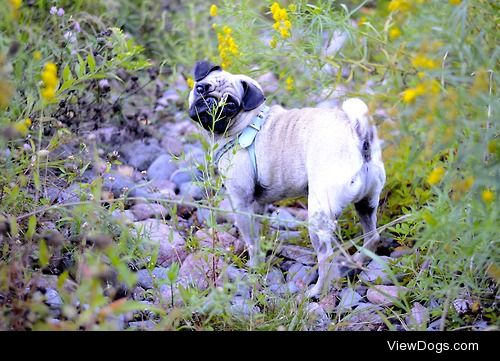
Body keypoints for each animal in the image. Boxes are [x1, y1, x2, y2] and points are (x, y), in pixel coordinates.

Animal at [188, 60, 386, 296]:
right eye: (201, 88)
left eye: (230, 105)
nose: (210, 102)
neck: (246, 123)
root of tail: (359, 138)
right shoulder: (257, 203)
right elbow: (259, 231)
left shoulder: (241, 201)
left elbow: (252, 240)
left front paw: (254, 266)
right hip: (367, 204)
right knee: (372, 237)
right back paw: (355, 261)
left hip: (318, 217)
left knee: (327, 259)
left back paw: (316, 291)